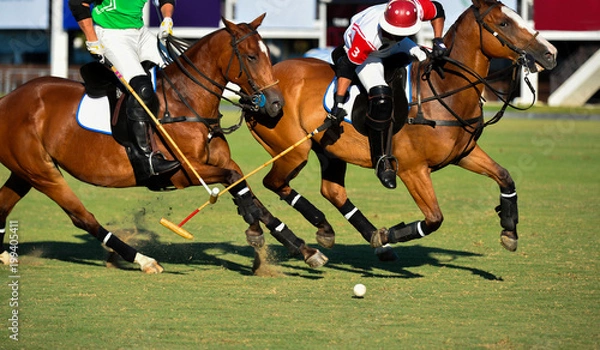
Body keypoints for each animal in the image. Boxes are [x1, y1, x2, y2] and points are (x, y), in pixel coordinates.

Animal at [0, 15, 328, 274]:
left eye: (268, 53)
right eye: (250, 57)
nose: (275, 105)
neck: (189, 101)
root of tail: (7, 99)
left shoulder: (220, 161)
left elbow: (243, 186)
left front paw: (302, 247)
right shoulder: (184, 172)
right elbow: (236, 181)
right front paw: (255, 227)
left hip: (25, 171)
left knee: (4, 206)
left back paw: (4, 255)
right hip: (43, 174)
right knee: (82, 217)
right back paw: (143, 260)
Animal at [243, 0, 556, 260]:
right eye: (504, 23)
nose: (550, 54)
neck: (442, 89)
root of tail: (256, 91)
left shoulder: (463, 154)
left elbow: (505, 177)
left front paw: (509, 230)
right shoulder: (412, 170)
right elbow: (434, 219)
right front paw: (388, 234)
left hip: (329, 151)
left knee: (332, 191)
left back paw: (346, 234)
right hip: (292, 149)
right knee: (275, 183)